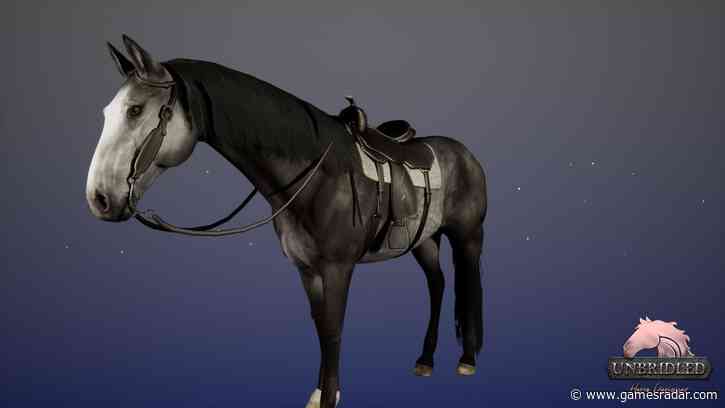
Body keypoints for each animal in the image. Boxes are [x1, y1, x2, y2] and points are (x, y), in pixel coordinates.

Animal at [86, 35, 488, 408]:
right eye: (108, 112)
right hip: (424, 240)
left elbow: (334, 330)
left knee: (468, 285)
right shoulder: (307, 270)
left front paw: (329, 398)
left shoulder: (338, 268)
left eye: (136, 110)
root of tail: (466, 154)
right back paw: (425, 360)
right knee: (437, 284)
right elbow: (321, 328)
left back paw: (467, 360)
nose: (99, 198)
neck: (318, 174)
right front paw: (321, 393)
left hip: (467, 238)